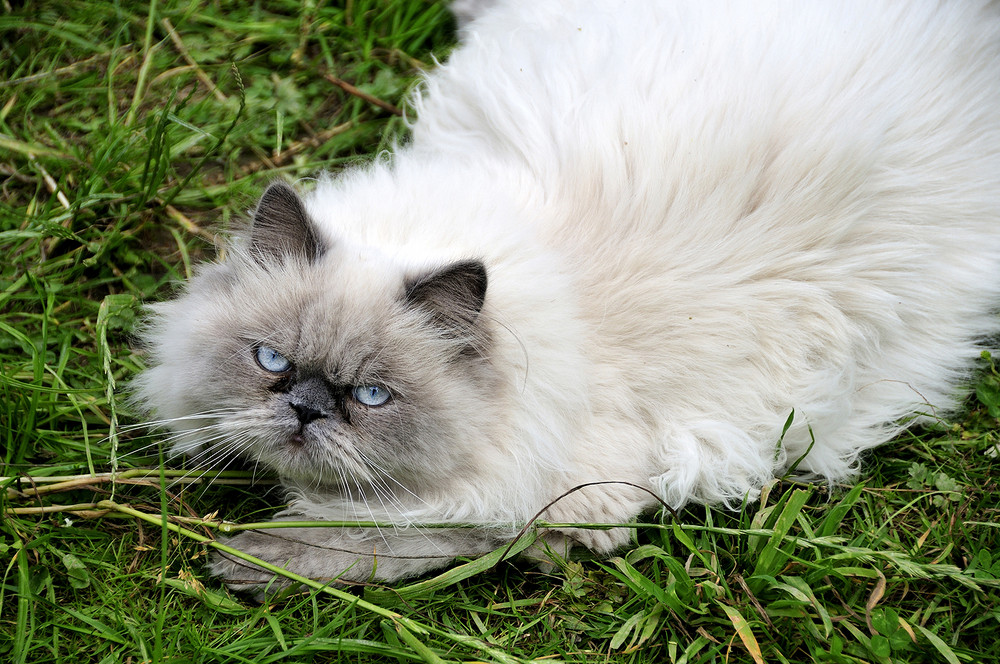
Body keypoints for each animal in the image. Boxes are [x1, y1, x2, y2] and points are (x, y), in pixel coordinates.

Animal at [135, 0, 1000, 592]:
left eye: (373, 396)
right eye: (271, 361)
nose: (307, 408)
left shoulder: (564, 496)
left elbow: (415, 531)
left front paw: (256, 561)